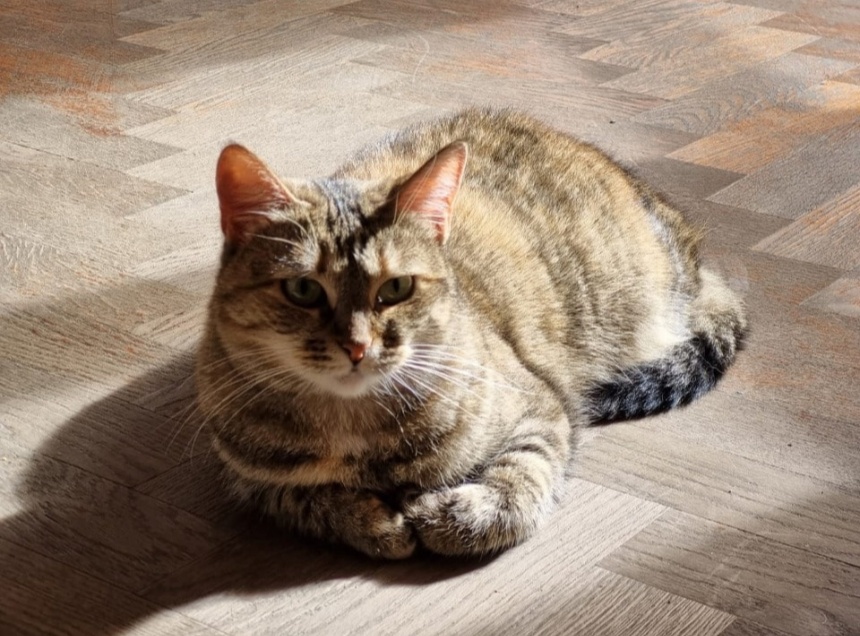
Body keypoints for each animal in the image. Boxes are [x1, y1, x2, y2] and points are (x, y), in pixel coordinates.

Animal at [196, 108, 746, 559]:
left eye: (396, 287)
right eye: (303, 289)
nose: (357, 346)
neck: (354, 431)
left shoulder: (543, 411)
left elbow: (517, 486)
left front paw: (449, 515)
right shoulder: (253, 478)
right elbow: (313, 502)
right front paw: (376, 522)